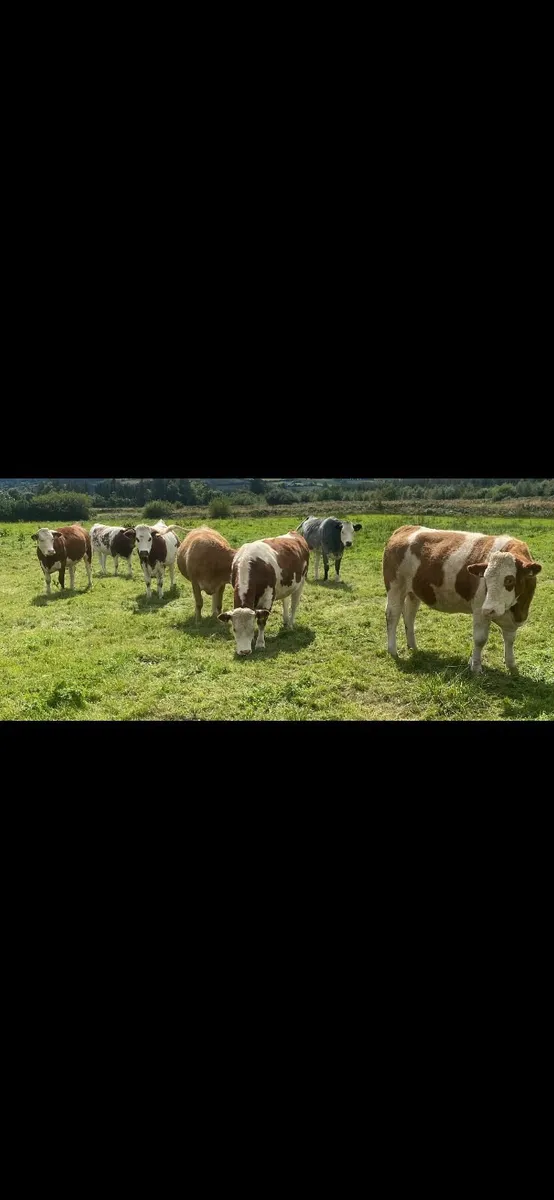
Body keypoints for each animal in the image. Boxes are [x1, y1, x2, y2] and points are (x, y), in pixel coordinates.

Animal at [383, 525, 542, 674]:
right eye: (485, 578)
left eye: (509, 580)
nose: (488, 609)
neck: (517, 609)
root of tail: (405, 528)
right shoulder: (479, 609)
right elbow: (480, 639)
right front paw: (476, 667)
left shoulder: (513, 618)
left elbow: (510, 640)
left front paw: (512, 666)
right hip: (395, 587)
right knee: (392, 615)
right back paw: (393, 650)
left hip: (413, 592)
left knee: (409, 616)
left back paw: (413, 647)